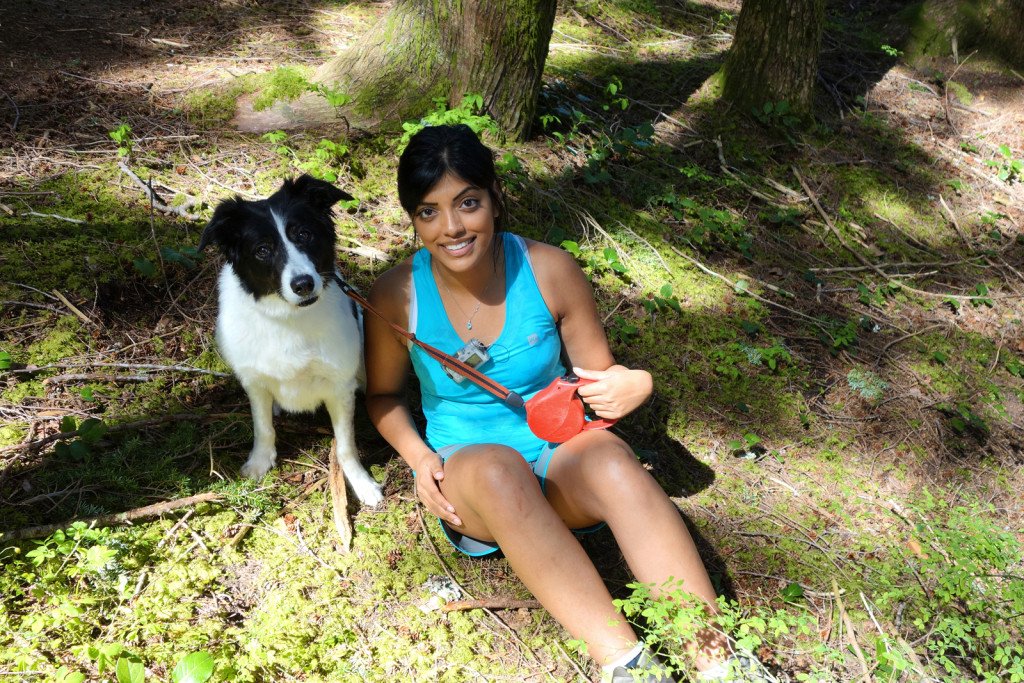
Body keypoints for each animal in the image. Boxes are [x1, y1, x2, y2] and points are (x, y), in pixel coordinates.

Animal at [197, 176, 382, 507]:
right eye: (262, 250)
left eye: (304, 235)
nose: (303, 284)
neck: (288, 317)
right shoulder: (255, 380)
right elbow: (262, 427)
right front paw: (259, 462)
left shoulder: (339, 385)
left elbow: (345, 445)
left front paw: (361, 482)